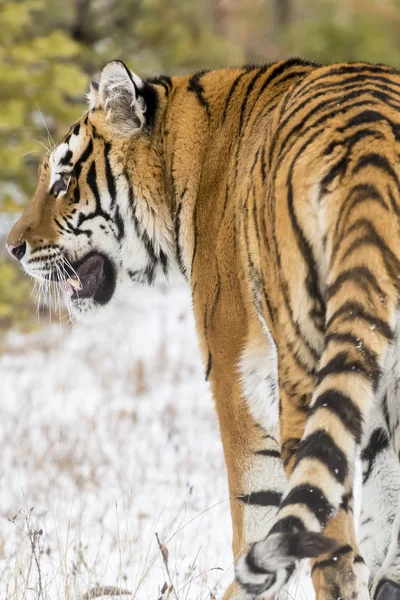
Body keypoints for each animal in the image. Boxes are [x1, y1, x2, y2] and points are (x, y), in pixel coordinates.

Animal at [6, 57, 400, 600]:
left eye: (63, 183)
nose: (11, 247)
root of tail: (371, 148)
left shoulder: (233, 370)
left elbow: (257, 510)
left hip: (302, 368)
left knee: (332, 555)